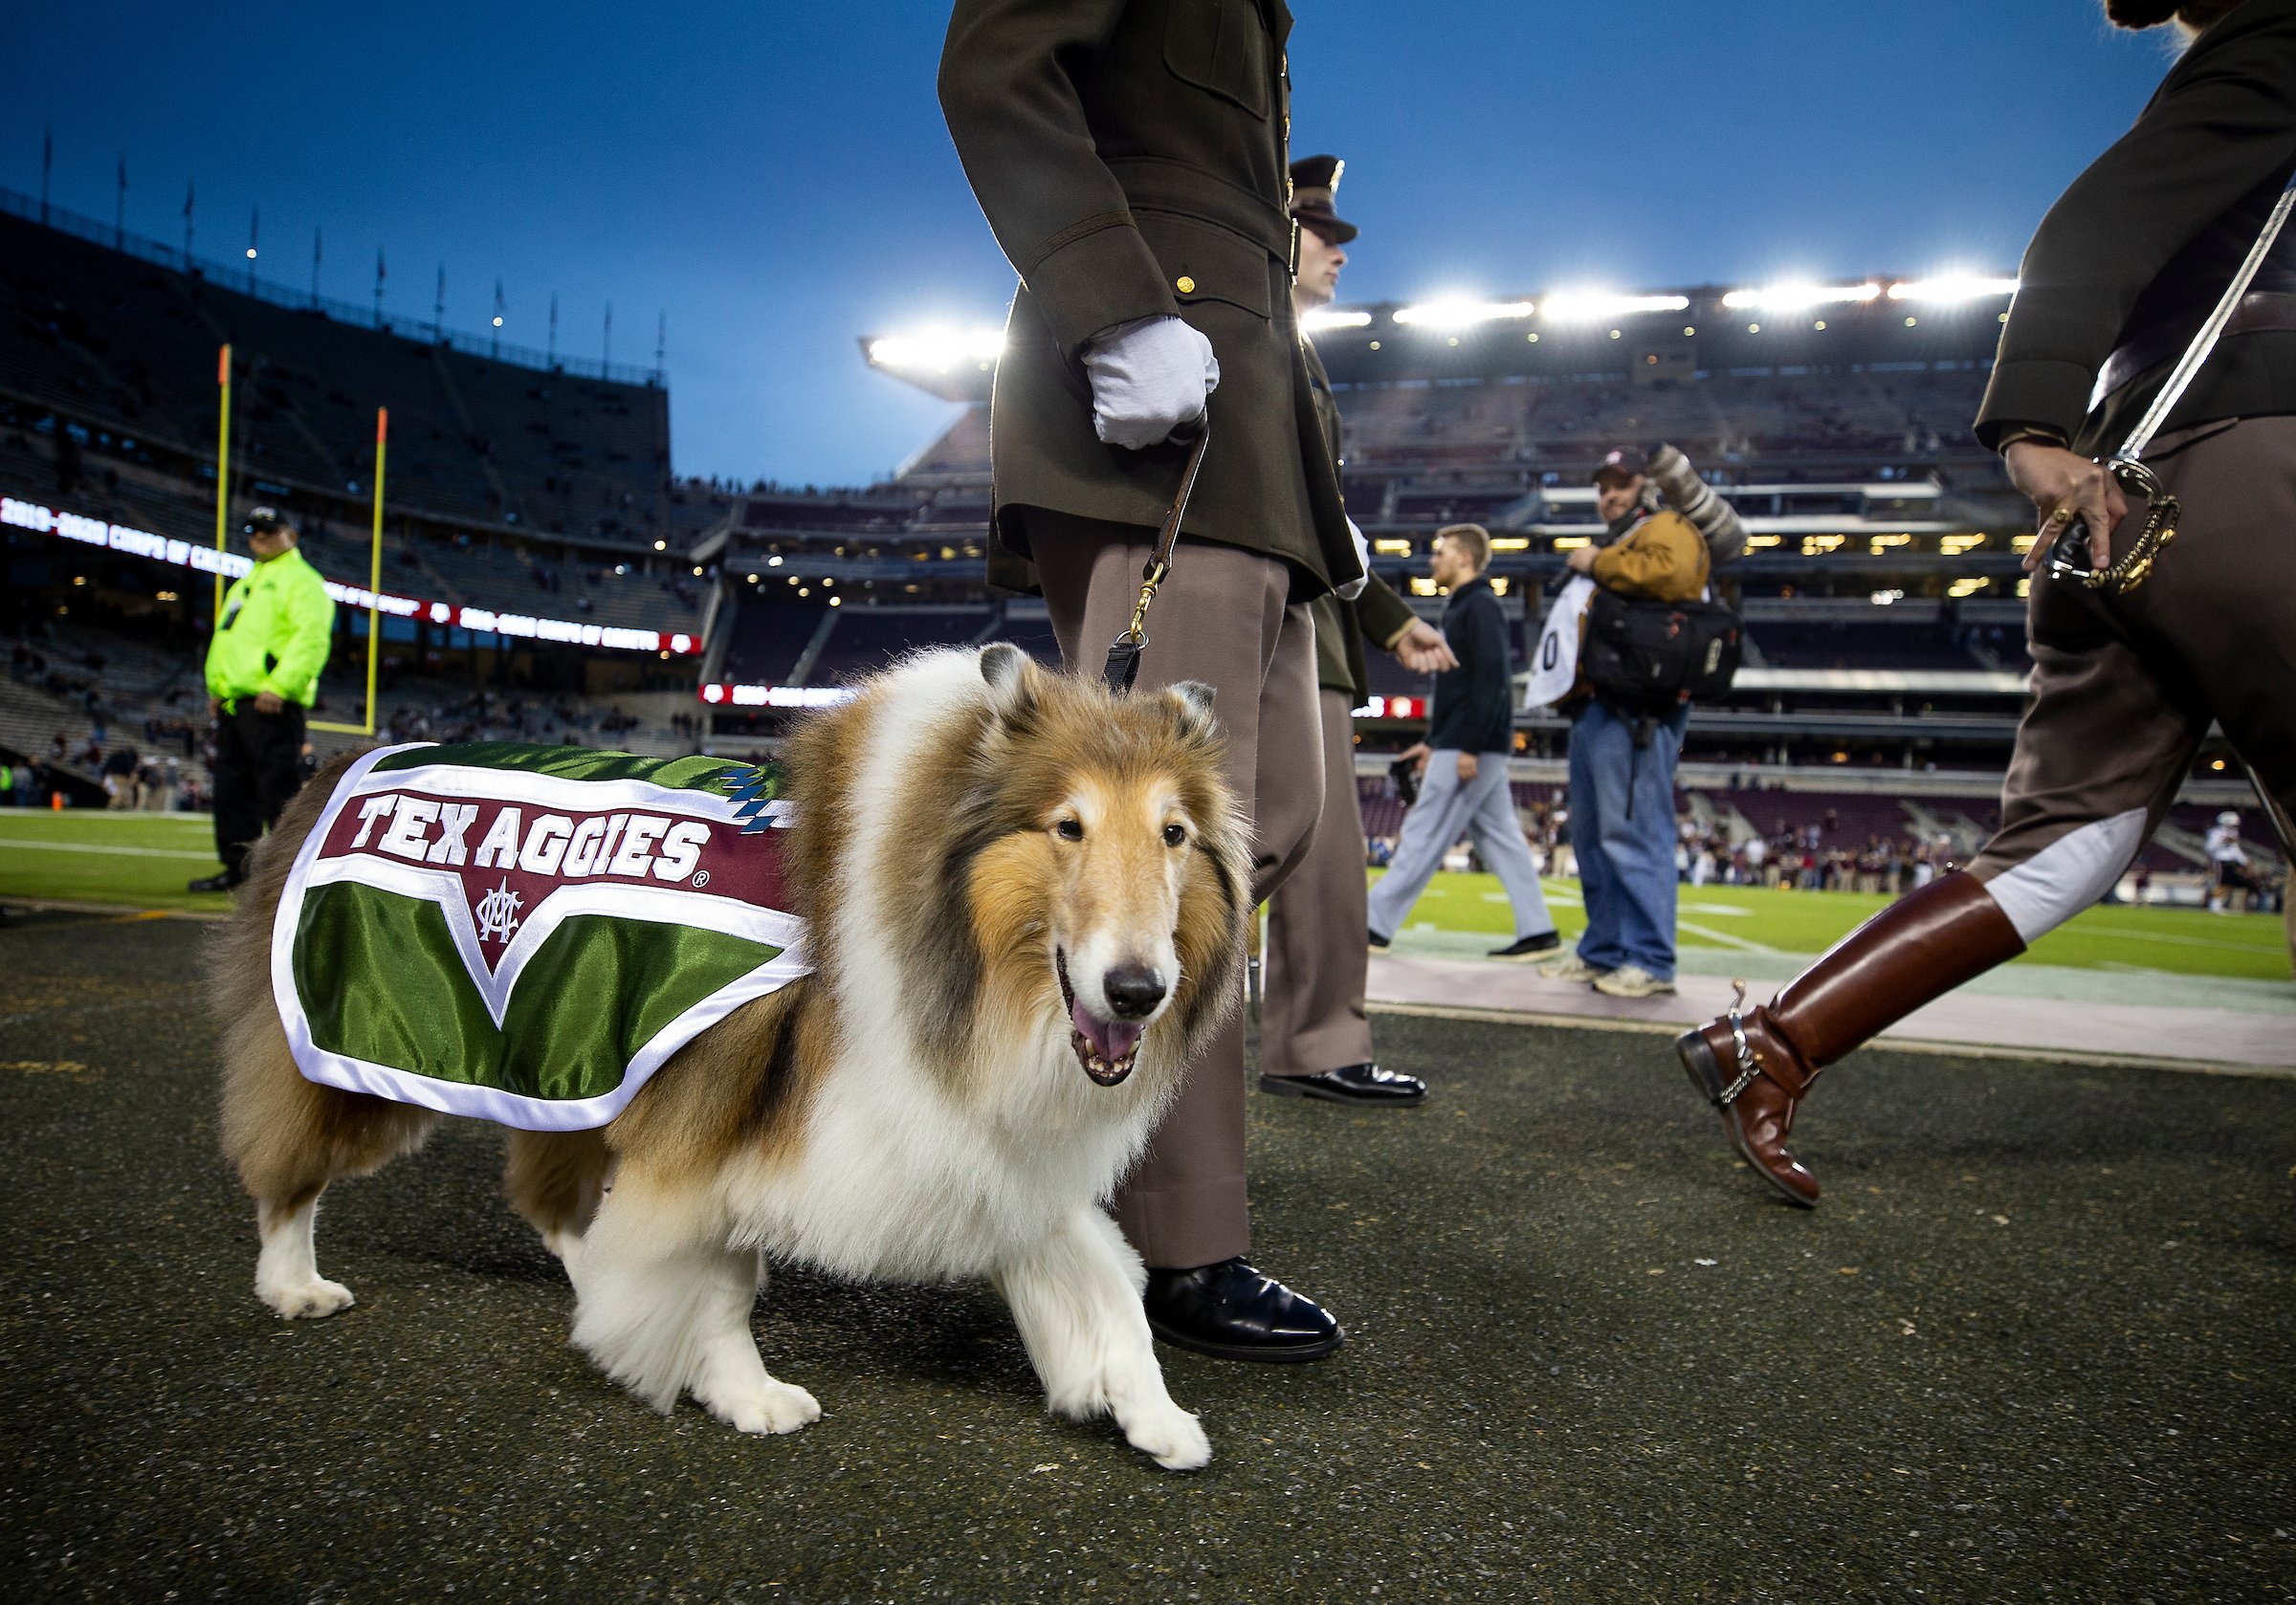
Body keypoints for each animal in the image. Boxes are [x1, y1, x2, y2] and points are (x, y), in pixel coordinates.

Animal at [213, 647, 1248, 1478]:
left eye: (1174, 834)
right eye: (1068, 826)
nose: (1138, 991)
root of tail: (339, 762)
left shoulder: (963, 1141)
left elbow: (1102, 1280)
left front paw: (1153, 1413)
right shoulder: (717, 1112)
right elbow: (715, 1282)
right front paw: (746, 1393)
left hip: (573, 1059)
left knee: (556, 1202)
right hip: (352, 1041)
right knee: (287, 1170)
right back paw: (292, 1283)